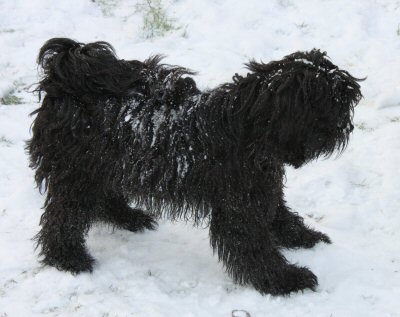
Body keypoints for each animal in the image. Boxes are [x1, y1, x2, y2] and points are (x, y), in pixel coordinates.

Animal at [26, 38, 360, 296]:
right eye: (330, 99)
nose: (348, 123)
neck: (247, 129)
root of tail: (65, 75)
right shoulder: (240, 206)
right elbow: (254, 246)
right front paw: (285, 280)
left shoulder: (265, 186)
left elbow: (279, 214)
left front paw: (303, 237)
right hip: (77, 172)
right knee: (62, 218)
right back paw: (68, 258)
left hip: (104, 166)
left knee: (103, 198)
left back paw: (130, 217)